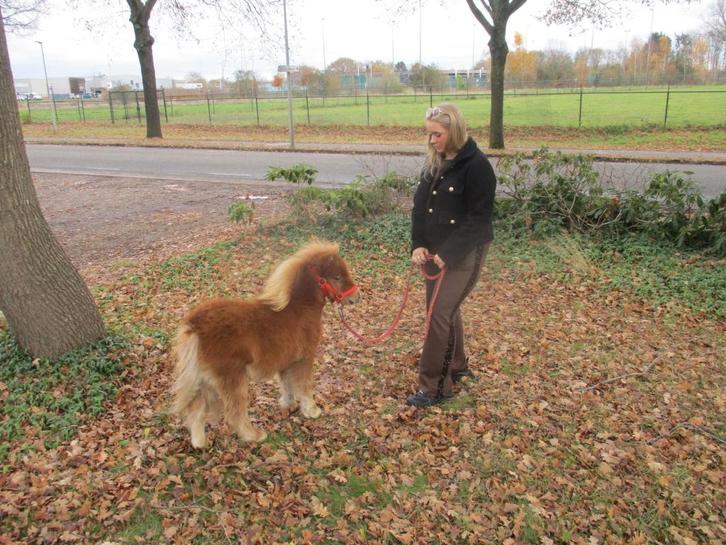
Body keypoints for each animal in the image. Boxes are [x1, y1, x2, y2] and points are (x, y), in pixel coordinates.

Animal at [171, 241, 359, 448]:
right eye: (337, 276)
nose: (355, 297)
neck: (300, 308)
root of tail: (194, 326)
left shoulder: (286, 361)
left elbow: (287, 384)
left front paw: (289, 405)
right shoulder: (305, 358)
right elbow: (304, 385)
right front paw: (312, 411)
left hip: (206, 381)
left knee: (196, 409)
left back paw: (200, 443)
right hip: (232, 379)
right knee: (234, 413)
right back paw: (255, 436)